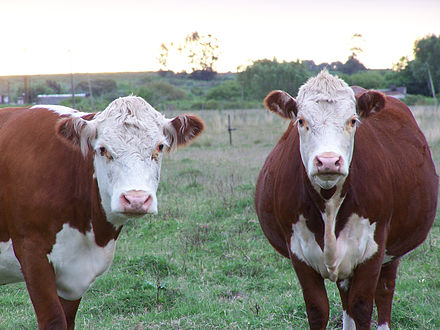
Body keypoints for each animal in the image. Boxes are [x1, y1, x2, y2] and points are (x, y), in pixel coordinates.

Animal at [0, 96, 204, 330]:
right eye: (103, 149)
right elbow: (53, 319)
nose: (135, 199)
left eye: (160, 146)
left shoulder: (74, 275)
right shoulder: (31, 252)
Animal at [256, 70, 438, 330]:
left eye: (352, 120)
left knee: (384, 292)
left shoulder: (373, 249)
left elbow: (362, 306)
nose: (328, 161)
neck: (329, 203)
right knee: (345, 293)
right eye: (301, 121)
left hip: (393, 249)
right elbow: (318, 309)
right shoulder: (298, 252)